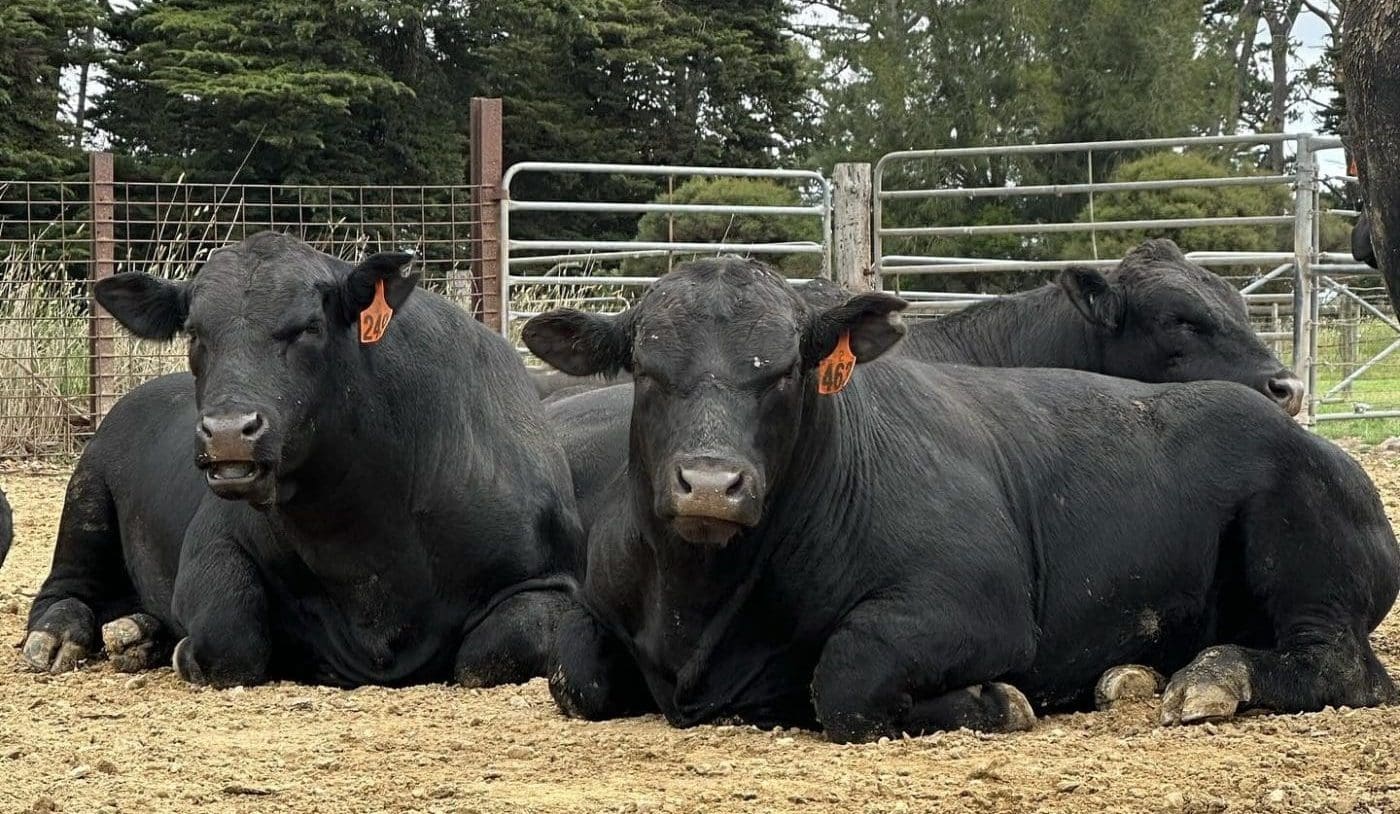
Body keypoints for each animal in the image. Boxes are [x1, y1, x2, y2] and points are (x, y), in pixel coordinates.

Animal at [22, 232, 583, 688]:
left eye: (309, 327)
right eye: (195, 332)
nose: (228, 433)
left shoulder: (551, 578)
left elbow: (492, 653)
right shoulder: (214, 541)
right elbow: (229, 638)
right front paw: (183, 649)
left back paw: (139, 632)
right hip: (86, 498)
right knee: (63, 588)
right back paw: (60, 636)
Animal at [524, 256, 1398, 743]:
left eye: (784, 370)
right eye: (645, 369)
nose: (710, 484)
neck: (699, 610)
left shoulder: (976, 604)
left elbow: (846, 677)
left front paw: (994, 700)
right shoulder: (594, 615)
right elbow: (575, 673)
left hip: (1303, 553)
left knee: (1343, 667)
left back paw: (1214, 678)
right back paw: (1132, 676)